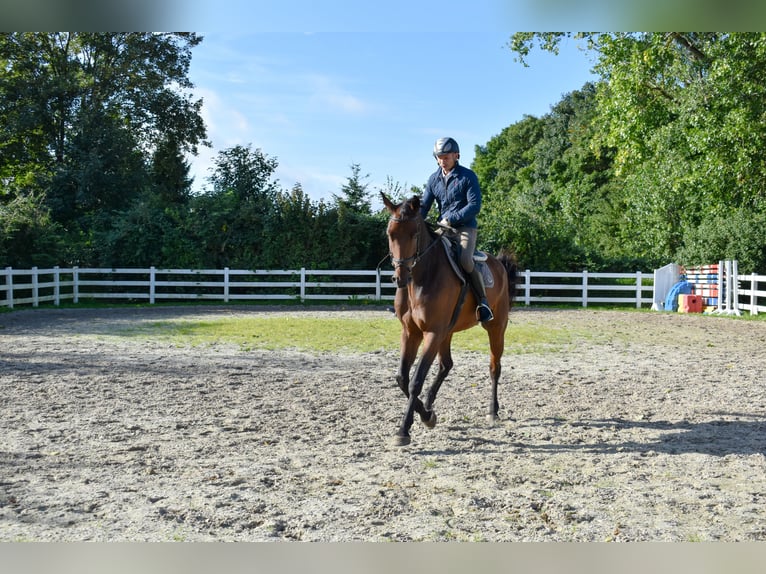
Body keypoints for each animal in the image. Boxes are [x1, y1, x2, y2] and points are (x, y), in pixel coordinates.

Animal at [381, 193, 517, 446]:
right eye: (390, 234)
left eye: (414, 234)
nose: (400, 277)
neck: (421, 278)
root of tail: (499, 264)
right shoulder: (411, 332)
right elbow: (402, 378)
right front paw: (427, 414)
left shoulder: (432, 333)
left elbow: (415, 380)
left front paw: (404, 430)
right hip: (448, 332)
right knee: (446, 365)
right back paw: (429, 404)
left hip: (495, 327)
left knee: (494, 367)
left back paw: (493, 411)